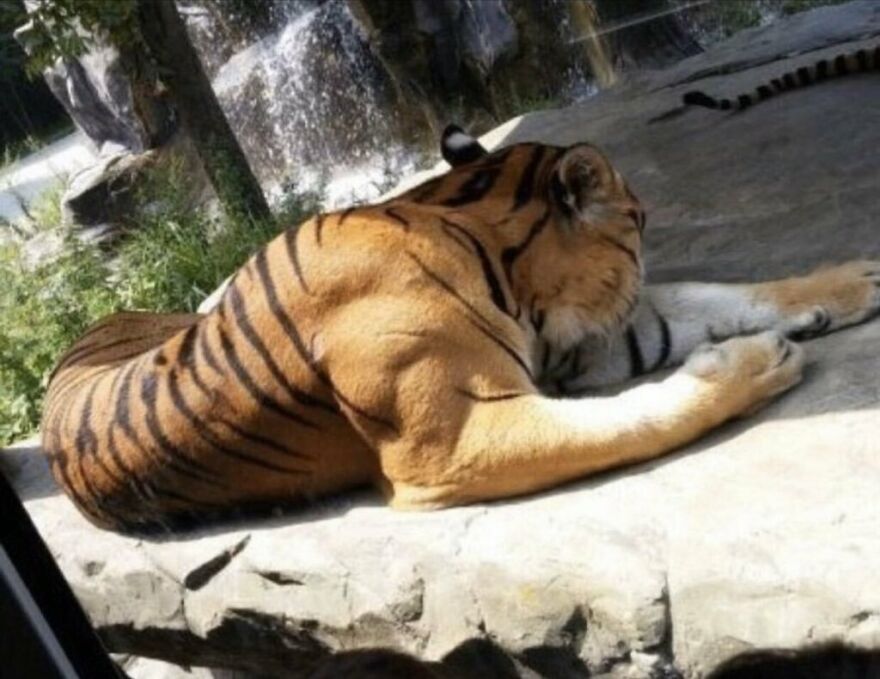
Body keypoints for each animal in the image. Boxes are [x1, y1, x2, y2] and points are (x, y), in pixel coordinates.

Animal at [40, 125, 880, 532]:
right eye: (638, 222)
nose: (641, 242)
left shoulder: (589, 346)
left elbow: (714, 294)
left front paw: (850, 282)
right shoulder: (455, 438)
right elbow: (638, 416)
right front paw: (752, 363)